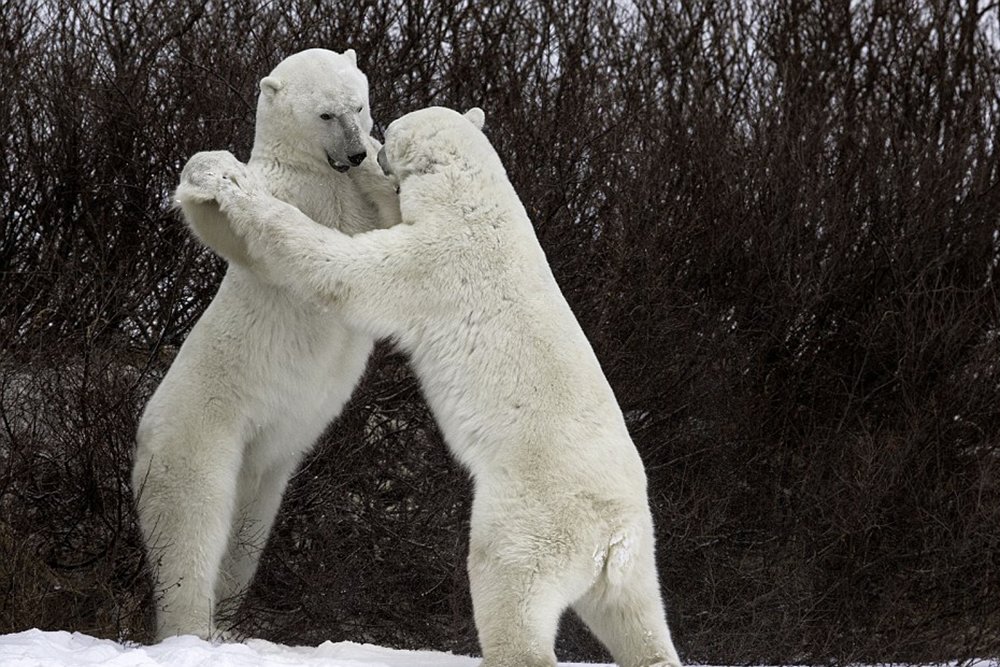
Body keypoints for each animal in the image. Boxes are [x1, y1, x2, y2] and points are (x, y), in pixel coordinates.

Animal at [132, 48, 398, 640]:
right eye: (325, 114)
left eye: (358, 105)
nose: (354, 152)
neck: (319, 173)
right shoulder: (290, 193)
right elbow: (232, 227)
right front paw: (214, 172)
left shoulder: (352, 199)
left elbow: (394, 224)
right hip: (200, 434)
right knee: (192, 527)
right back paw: (193, 627)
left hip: (268, 465)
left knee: (247, 535)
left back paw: (230, 621)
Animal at [176, 108, 684, 667]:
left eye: (393, 134)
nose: (372, 149)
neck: (478, 203)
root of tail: (612, 536)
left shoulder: (436, 262)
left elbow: (344, 270)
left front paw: (232, 184)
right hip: (637, 561)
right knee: (637, 619)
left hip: (533, 517)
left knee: (509, 585)